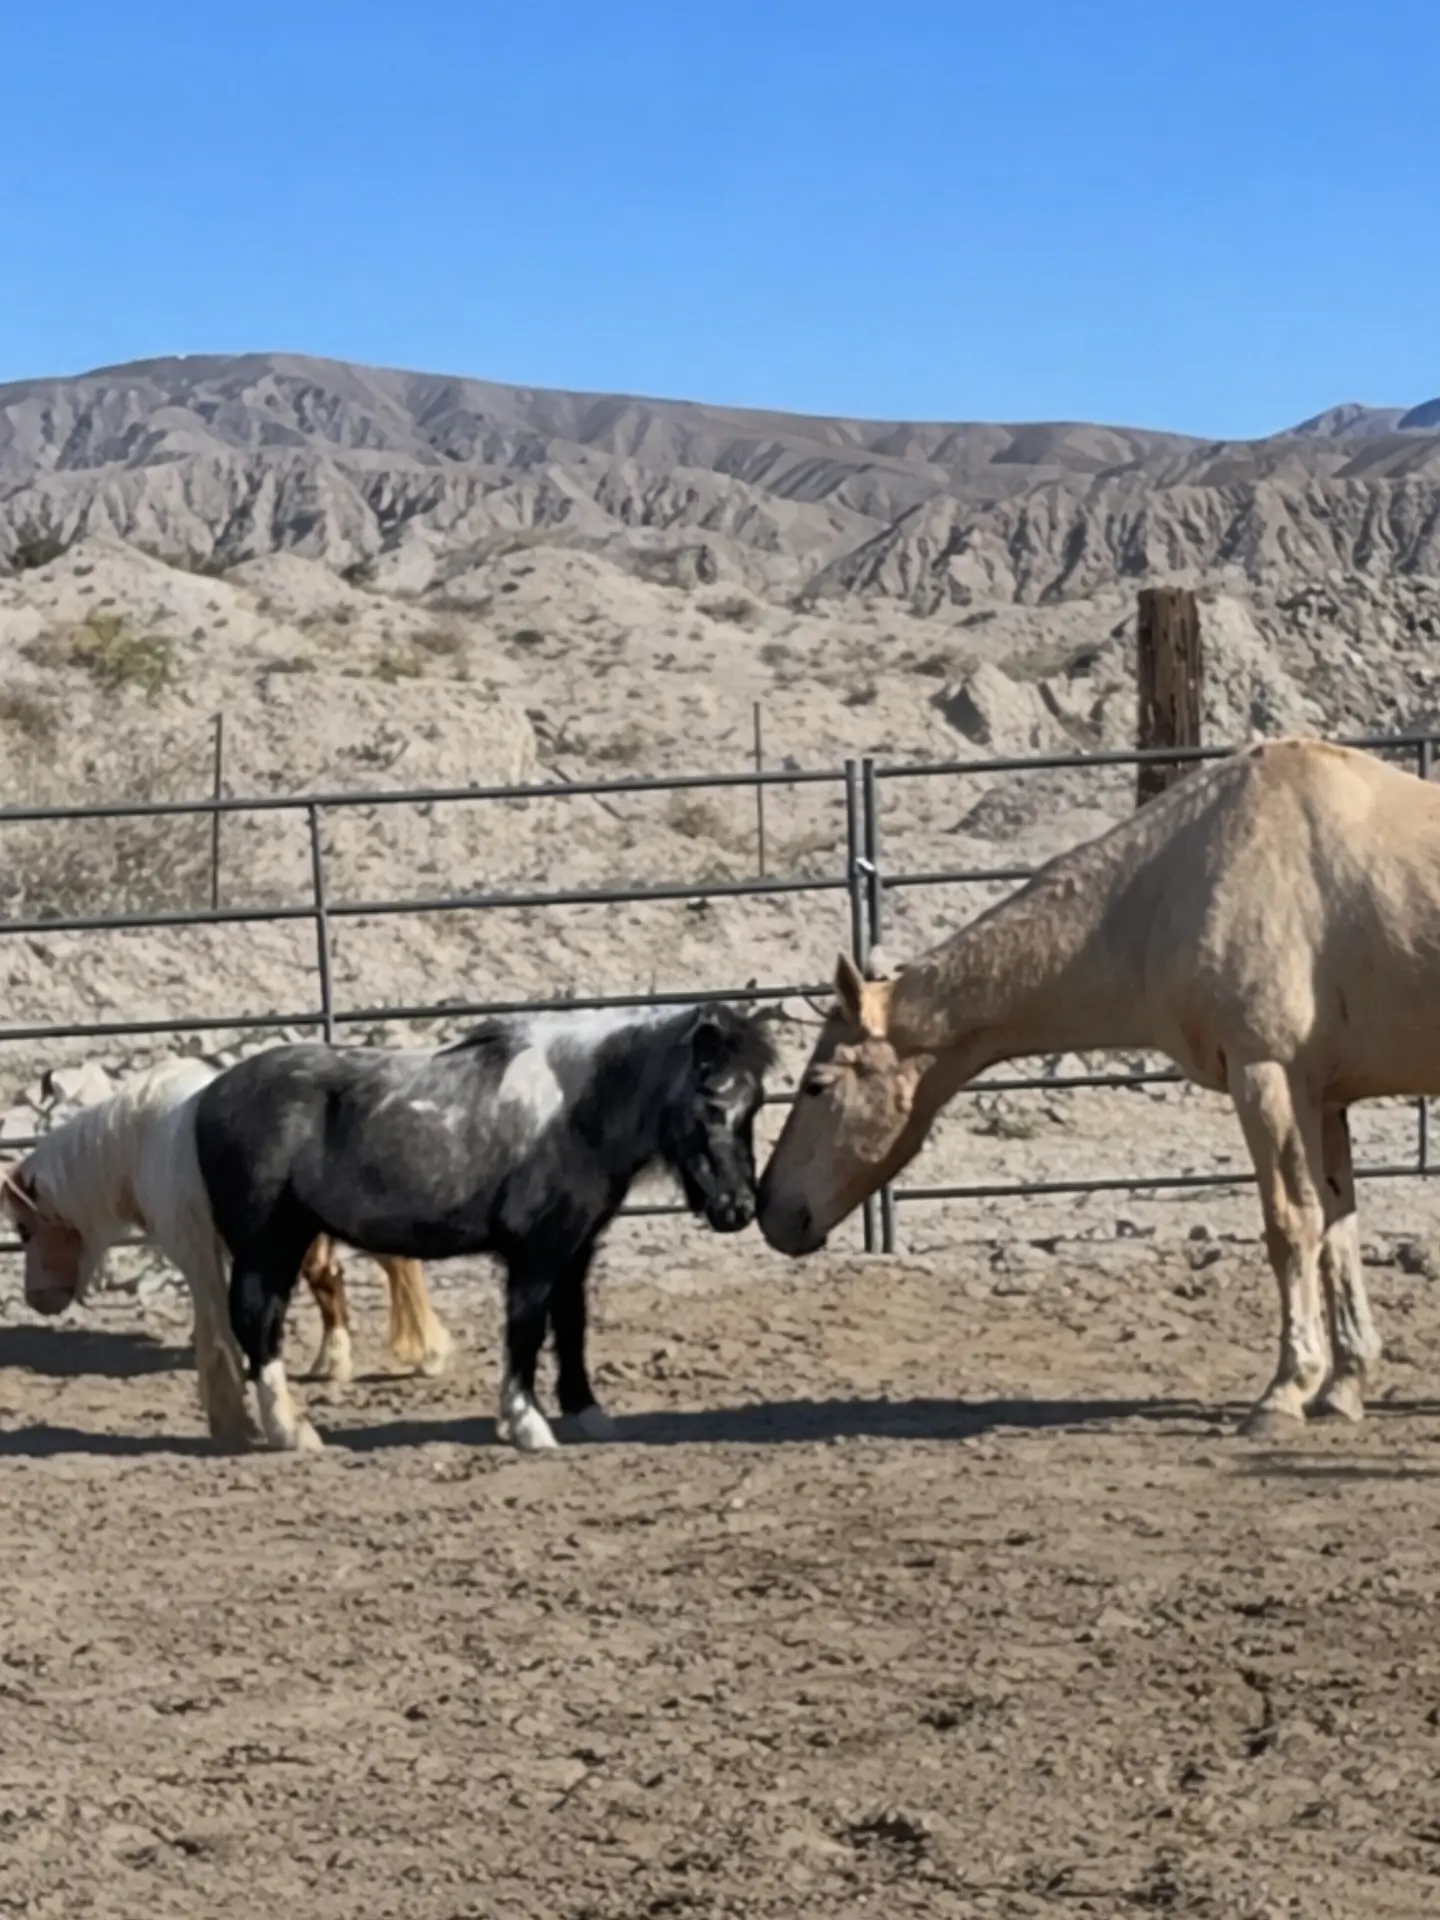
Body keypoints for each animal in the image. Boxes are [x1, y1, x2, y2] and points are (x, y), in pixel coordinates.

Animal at [0, 1056, 451, 1448]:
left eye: (24, 1229)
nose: (37, 1299)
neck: (142, 1141)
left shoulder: (196, 1250)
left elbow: (217, 1329)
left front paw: (232, 1420)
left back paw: (421, 1354)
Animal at [192, 1000, 777, 1452]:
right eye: (709, 1101)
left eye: (754, 1103)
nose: (738, 1209)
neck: (576, 1112)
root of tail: (207, 1095)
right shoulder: (537, 1254)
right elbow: (526, 1329)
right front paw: (528, 1425)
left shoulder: (576, 1249)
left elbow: (571, 1325)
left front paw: (587, 1412)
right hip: (269, 1247)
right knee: (259, 1324)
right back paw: (291, 1432)